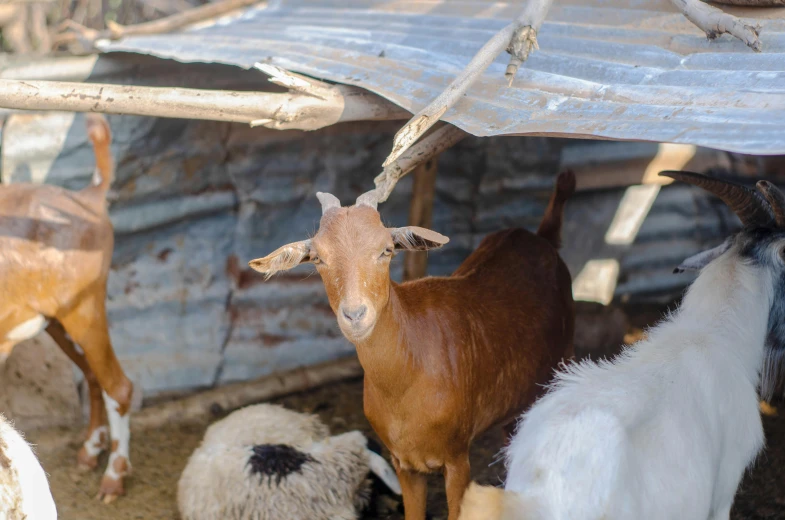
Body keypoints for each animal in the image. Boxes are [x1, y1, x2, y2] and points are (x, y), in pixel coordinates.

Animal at [0, 115, 132, 504]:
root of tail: (87, 197)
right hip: (57, 320)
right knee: (92, 375)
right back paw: (90, 450)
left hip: (84, 308)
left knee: (119, 385)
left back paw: (113, 476)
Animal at [251, 172, 576, 520]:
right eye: (318, 258)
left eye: (387, 249)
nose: (355, 315)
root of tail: (542, 238)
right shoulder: (404, 463)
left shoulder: (457, 458)